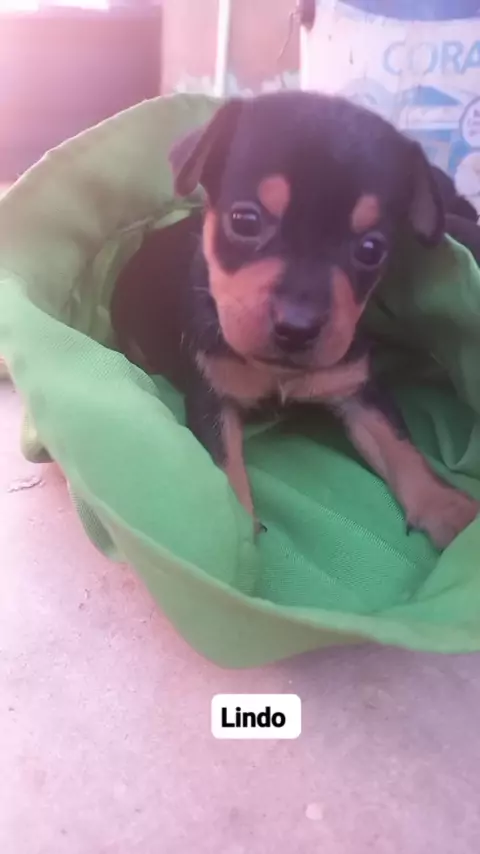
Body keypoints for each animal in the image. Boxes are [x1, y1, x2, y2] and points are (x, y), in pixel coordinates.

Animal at [111, 91, 479, 549]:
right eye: (245, 221)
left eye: (372, 249)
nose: (297, 327)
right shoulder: (211, 397)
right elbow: (225, 464)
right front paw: (237, 528)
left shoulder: (356, 386)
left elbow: (399, 445)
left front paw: (448, 508)